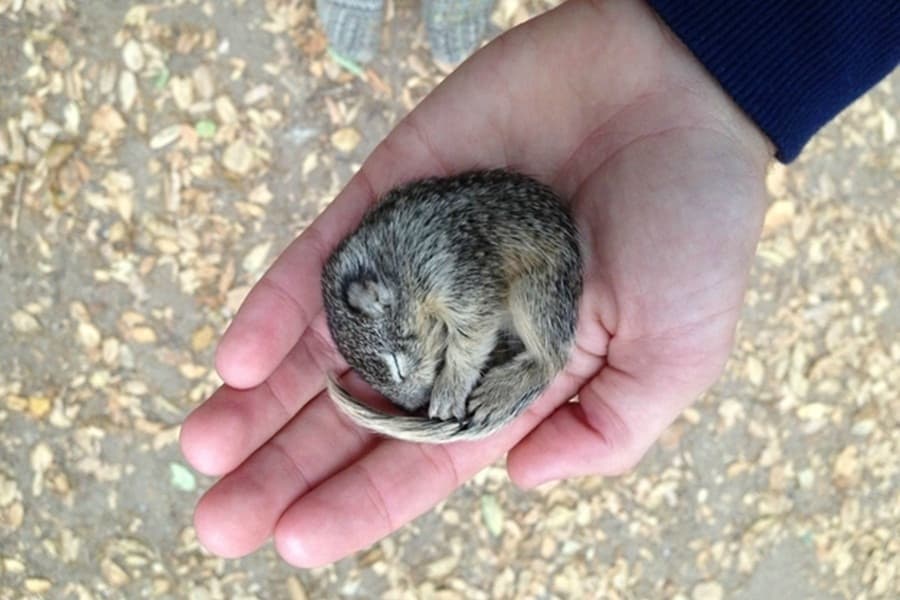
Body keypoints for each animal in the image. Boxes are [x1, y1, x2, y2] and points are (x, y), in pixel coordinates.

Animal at [321, 168, 583, 443]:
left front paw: (448, 391)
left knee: (551, 359)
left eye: (398, 367)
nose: (416, 405)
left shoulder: (457, 278)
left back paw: (499, 392)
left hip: (536, 292)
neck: (397, 261)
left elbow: (471, 337)